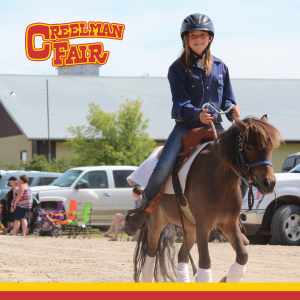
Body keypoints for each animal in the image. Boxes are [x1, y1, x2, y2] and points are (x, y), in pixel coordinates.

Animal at [133, 116, 282, 282]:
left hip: (190, 228)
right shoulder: (203, 226)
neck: (220, 181)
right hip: (157, 222)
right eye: (249, 147)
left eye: (270, 148)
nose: (269, 183)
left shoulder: (229, 225)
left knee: (182, 256)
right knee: (151, 254)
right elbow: (205, 263)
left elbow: (242, 256)